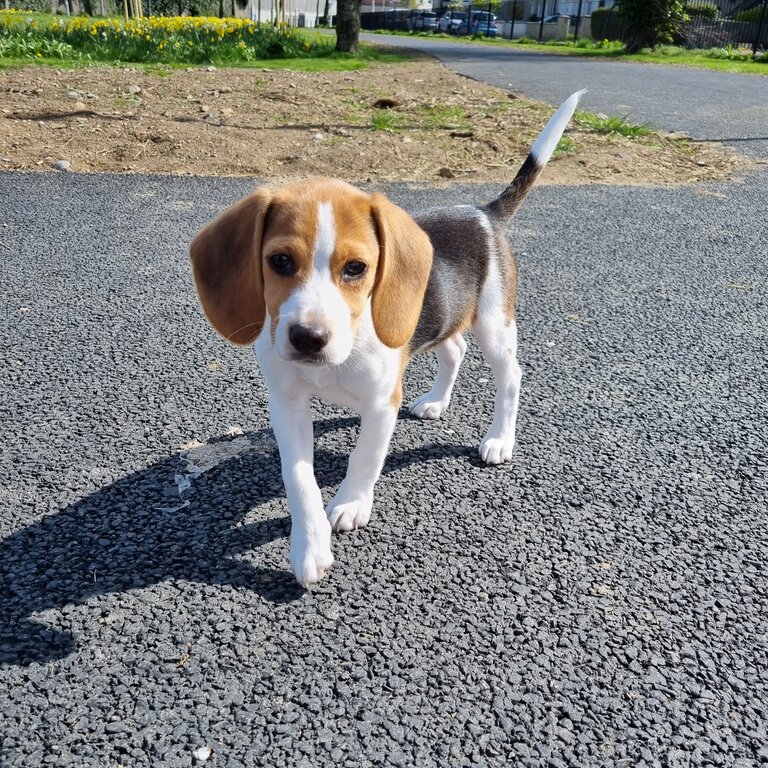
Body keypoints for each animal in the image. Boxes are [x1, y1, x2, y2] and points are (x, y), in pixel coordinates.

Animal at [190, 90, 584, 584]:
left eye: (356, 268)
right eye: (279, 261)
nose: (308, 338)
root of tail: (483, 213)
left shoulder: (381, 404)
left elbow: (364, 458)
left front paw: (350, 504)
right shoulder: (287, 403)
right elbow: (299, 479)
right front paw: (308, 546)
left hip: (495, 324)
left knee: (509, 375)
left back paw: (499, 439)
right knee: (453, 349)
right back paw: (435, 401)